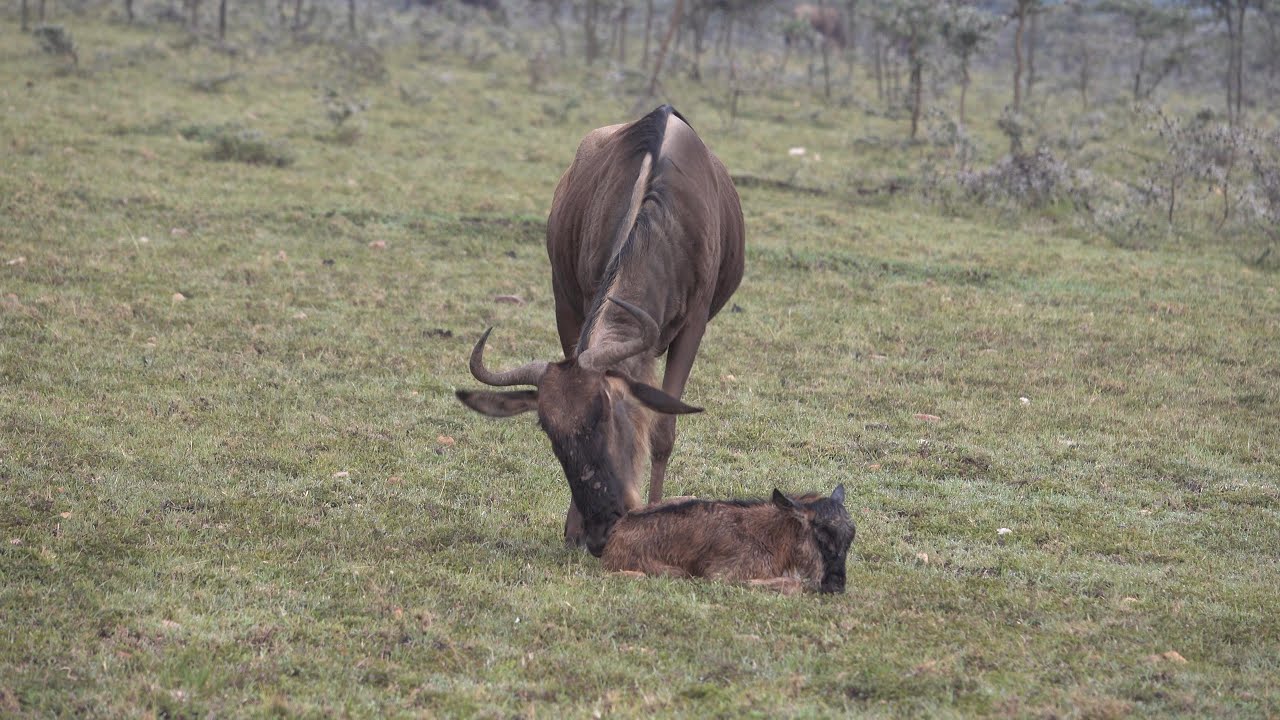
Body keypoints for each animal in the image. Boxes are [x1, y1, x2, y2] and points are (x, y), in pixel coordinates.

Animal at [456, 105, 745, 556]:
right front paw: (572, 529)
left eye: (606, 413)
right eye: (548, 430)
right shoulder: (571, 304)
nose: (600, 531)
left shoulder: (693, 326)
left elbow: (663, 430)